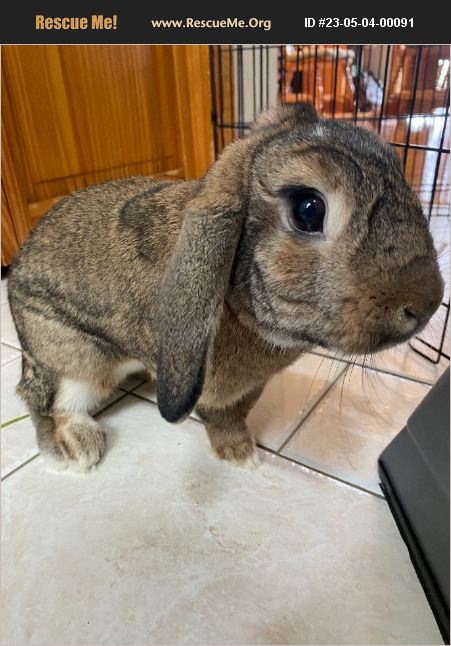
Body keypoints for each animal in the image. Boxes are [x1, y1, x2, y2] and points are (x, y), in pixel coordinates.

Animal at [8, 102, 444, 471]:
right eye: (308, 209)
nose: (426, 303)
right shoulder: (210, 390)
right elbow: (219, 418)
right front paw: (239, 455)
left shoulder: (251, 385)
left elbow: (242, 409)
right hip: (77, 359)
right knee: (43, 400)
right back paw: (75, 448)